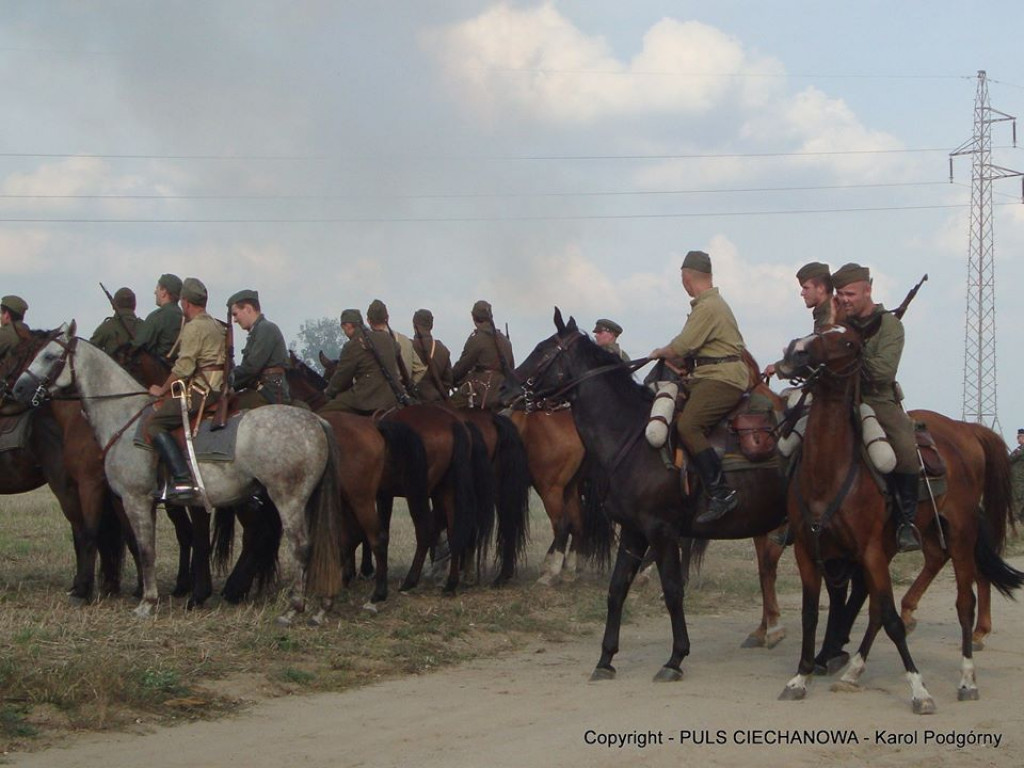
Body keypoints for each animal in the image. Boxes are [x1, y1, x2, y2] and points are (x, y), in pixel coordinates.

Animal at [14, 323, 344, 626]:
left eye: (49, 355)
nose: (18, 389)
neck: (124, 417)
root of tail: (314, 420)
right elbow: (149, 546)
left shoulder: (134, 500)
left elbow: (145, 549)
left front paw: (147, 602)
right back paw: (321, 607)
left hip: (287, 499)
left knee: (300, 546)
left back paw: (292, 609)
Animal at [512, 309, 782, 684]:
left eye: (542, 349)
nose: (507, 386)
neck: (633, 438)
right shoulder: (633, 531)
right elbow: (616, 590)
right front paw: (605, 658)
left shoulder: (661, 531)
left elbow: (672, 591)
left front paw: (675, 658)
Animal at [778, 325, 1019, 716]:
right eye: (818, 331)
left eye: (849, 342)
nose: (795, 351)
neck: (828, 473)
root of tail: (966, 430)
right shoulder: (807, 550)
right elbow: (811, 614)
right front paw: (799, 678)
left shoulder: (869, 551)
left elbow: (892, 620)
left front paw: (919, 690)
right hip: (912, 539)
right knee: (892, 598)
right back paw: (853, 673)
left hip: (960, 535)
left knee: (964, 603)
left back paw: (968, 680)